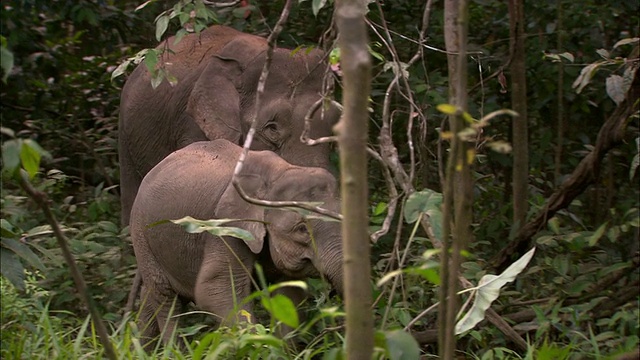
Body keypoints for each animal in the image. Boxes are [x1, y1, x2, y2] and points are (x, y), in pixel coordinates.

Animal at [130, 139, 344, 346]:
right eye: (301, 229)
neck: (278, 172)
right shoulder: (224, 225)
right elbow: (216, 288)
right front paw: (259, 344)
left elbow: (290, 293)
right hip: (141, 234)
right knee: (164, 297)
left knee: (150, 295)